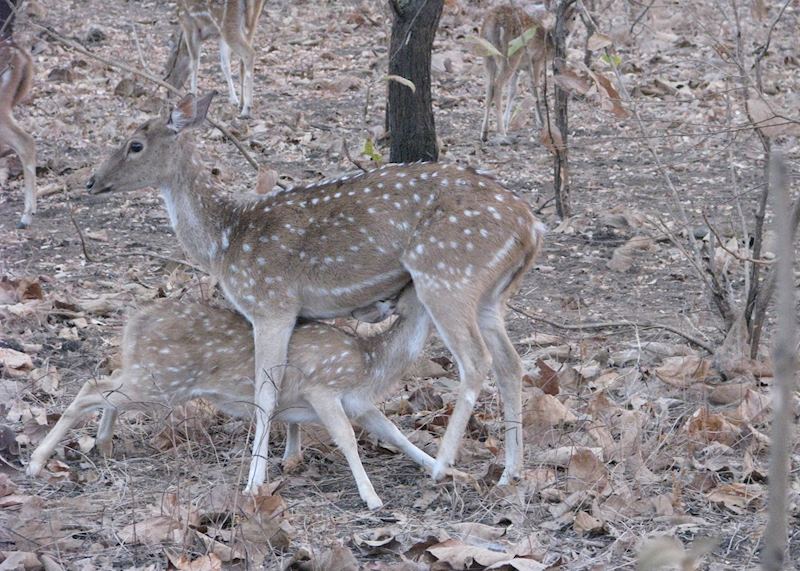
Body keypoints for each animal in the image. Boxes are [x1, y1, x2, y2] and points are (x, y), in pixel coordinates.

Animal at [27, 287, 445, 510]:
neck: (369, 363)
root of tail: (135, 321)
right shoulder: (322, 387)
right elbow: (347, 439)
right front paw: (372, 498)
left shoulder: (359, 403)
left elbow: (395, 434)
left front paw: (442, 468)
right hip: (161, 379)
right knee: (90, 389)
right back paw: (36, 461)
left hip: (149, 374)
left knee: (106, 387)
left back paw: (104, 443)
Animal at [86, 92, 545, 493]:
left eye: (135, 144)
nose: (91, 181)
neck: (224, 242)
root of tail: (531, 226)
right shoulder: (302, 313)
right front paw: (290, 456)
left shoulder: (270, 303)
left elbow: (265, 390)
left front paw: (255, 482)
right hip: (490, 295)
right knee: (511, 364)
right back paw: (510, 473)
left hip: (447, 275)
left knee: (476, 361)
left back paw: (444, 465)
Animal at [479, 3, 577, 142]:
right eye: (558, 16)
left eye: (574, 18)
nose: (566, 32)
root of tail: (493, 24)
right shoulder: (537, 60)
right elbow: (535, 88)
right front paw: (541, 122)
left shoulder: (519, 68)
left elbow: (512, 91)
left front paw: (507, 122)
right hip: (510, 54)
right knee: (497, 86)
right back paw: (501, 132)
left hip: (487, 56)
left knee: (489, 88)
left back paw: (484, 133)